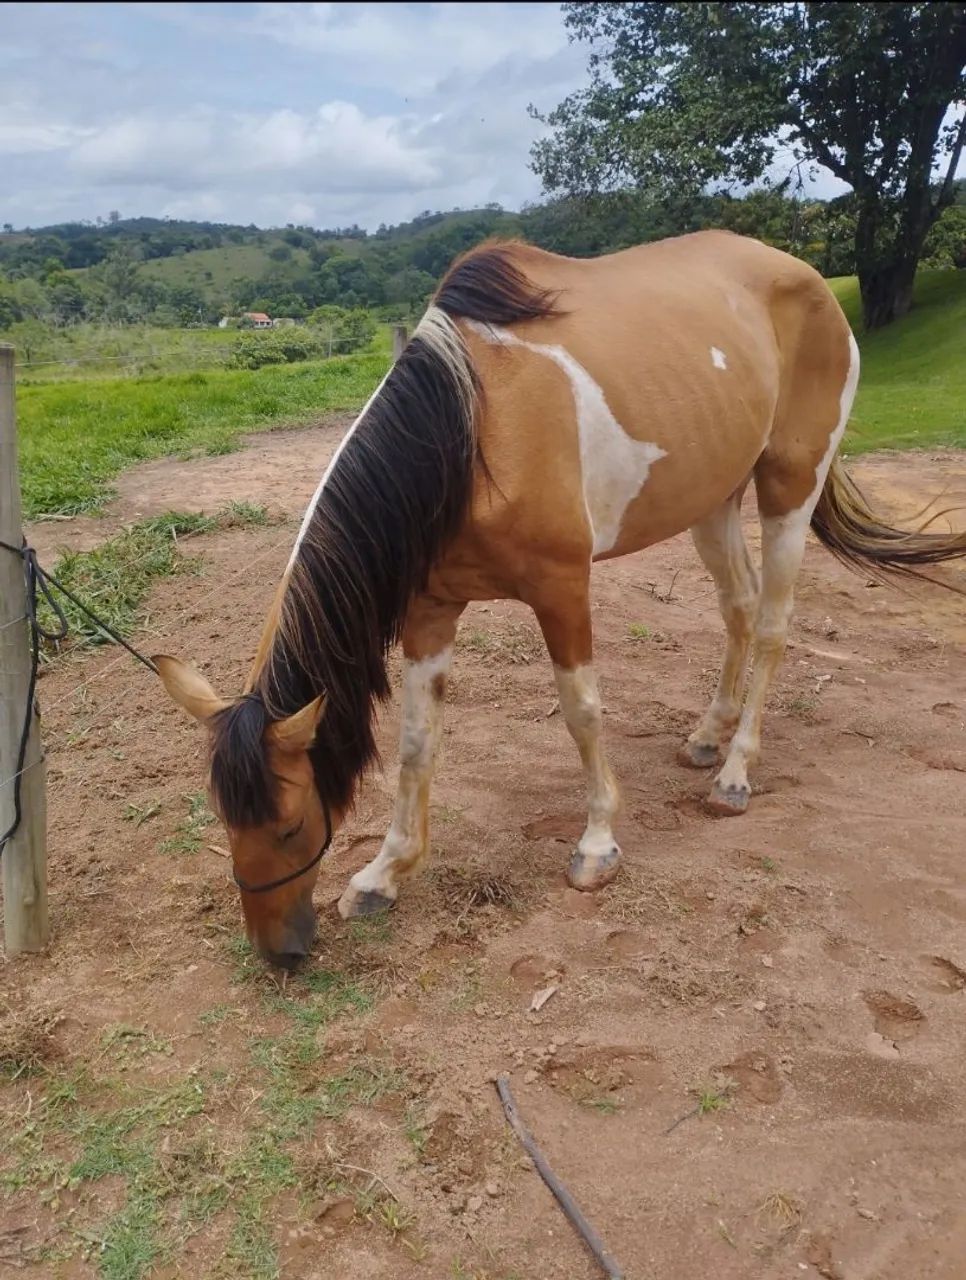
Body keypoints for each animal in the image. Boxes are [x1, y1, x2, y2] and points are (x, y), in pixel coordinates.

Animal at [154, 231, 966, 968]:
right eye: (225, 823)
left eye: (290, 827)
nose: (280, 953)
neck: (472, 431)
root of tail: (808, 280)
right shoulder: (428, 612)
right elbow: (417, 741)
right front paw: (385, 873)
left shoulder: (562, 587)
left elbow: (581, 712)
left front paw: (598, 843)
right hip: (710, 499)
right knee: (737, 609)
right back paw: (708, 735)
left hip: (789, 487)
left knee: (768, 625)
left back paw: (736, 771)